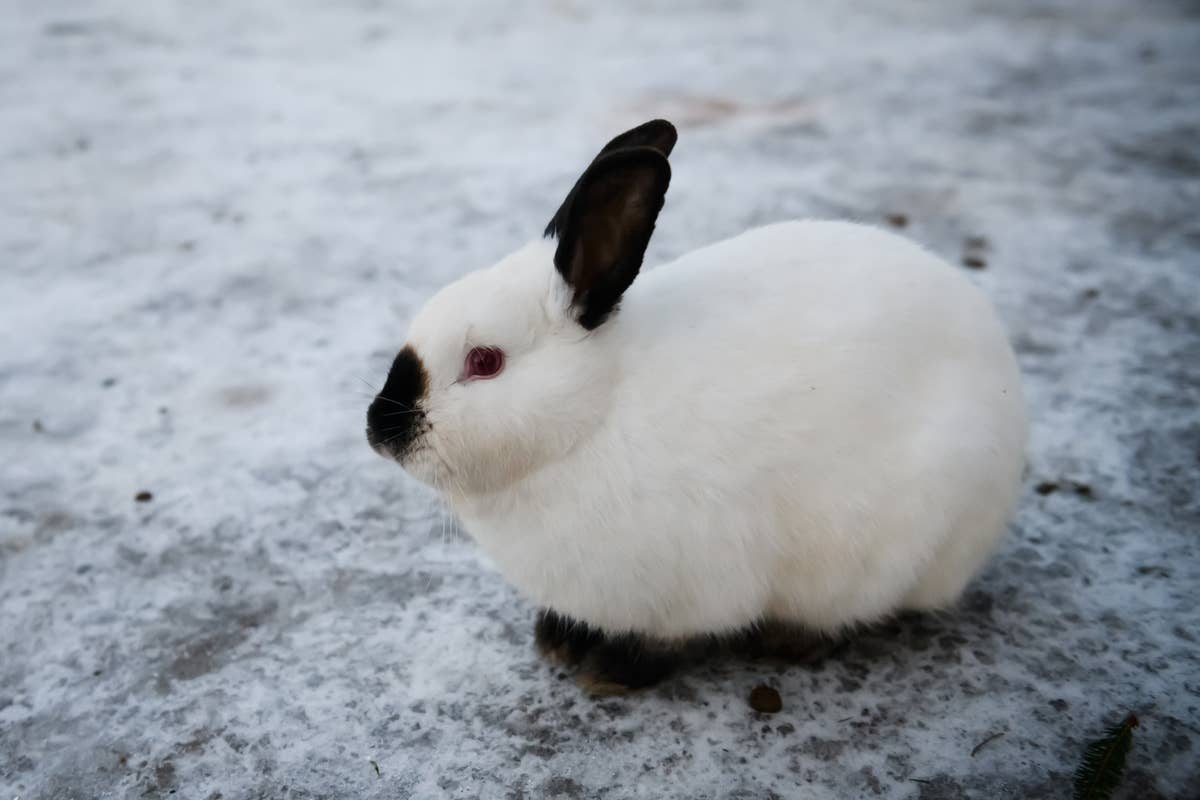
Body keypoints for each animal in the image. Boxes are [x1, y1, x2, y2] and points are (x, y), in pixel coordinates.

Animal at [366, 119, 1027, 694]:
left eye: (485, 362)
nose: (378, 430)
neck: (593, 413)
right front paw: (558, 639)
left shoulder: (699, 583)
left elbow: (671, 640)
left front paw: (609, 671)